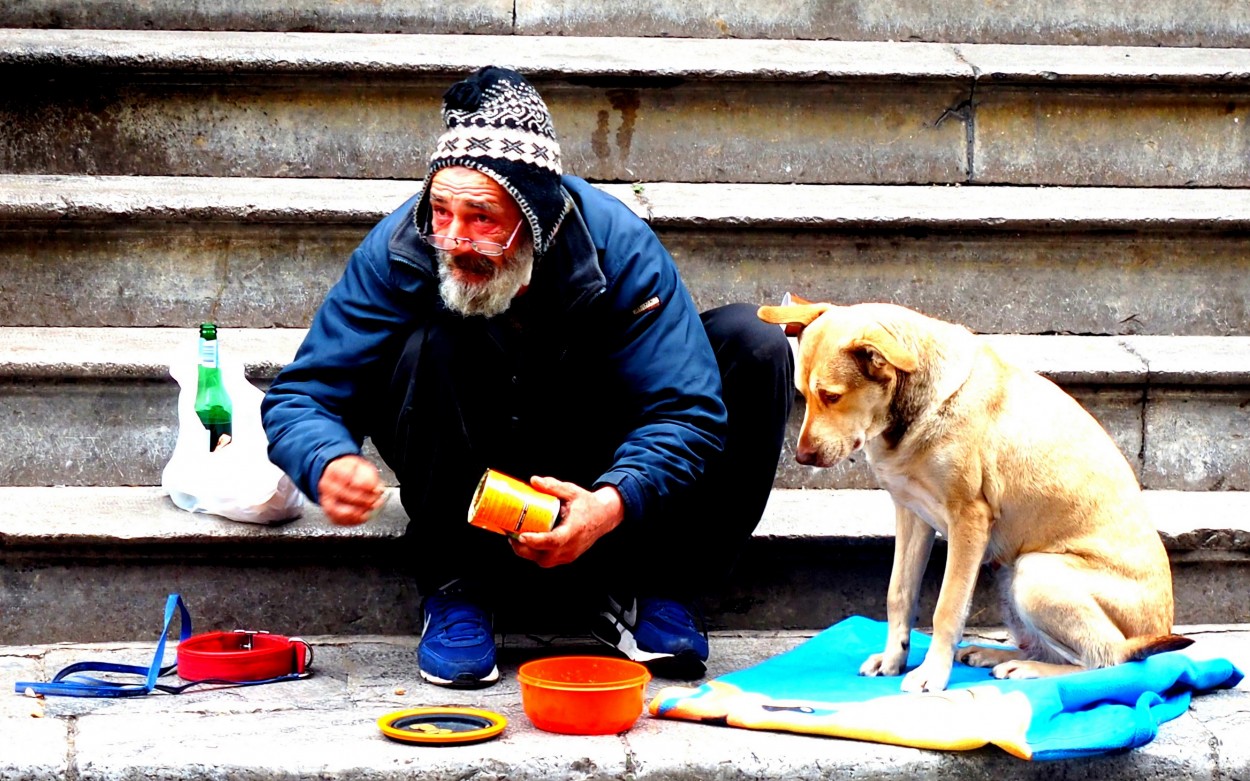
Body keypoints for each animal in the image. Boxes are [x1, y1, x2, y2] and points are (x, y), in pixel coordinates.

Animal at [755, 298, 1185, 689]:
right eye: (801, 392)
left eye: (831, 395)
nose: (801, 456)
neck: (913, 409)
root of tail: (1155, 627)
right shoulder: (911, 514)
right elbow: (899, 593)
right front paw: (894, 659)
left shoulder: (969, 519)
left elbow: (947, 607)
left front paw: (931, 674)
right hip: (1010, 575)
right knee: (1054, 648)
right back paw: (995, 654)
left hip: (1036, 574)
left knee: (1106, 659)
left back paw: (1028, 669)